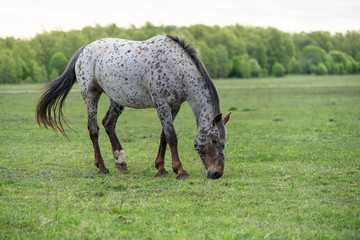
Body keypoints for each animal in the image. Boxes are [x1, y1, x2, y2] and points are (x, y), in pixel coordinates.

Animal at [35, 34, 231, 179]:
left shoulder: (174, 106)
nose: (217, 173)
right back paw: (102, 167)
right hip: (90, 95)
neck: (175, 67)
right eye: (214, 140)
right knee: (94, 128)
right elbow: (172, 136)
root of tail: (85, 49)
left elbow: (163, 136)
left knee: (109, 123)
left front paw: (161, 169)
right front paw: (180, 171)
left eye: (223, 141)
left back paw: (121, 160)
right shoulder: (162, 104)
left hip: (117, 99)